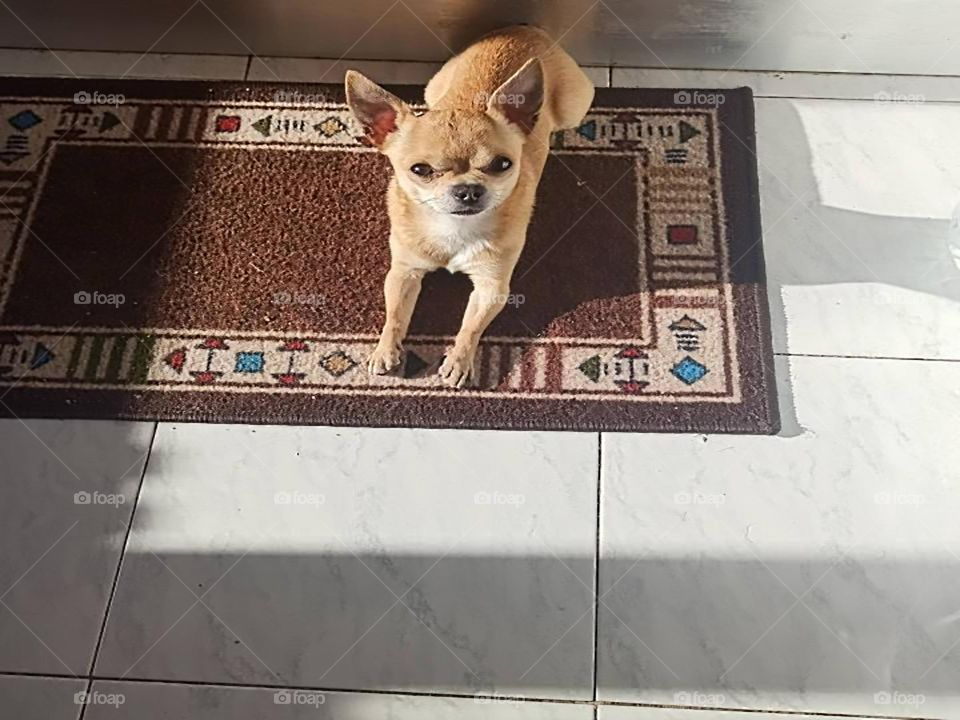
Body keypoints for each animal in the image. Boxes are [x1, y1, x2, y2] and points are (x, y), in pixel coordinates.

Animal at [344, 25, 592, 388]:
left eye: (503, 164)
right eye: (420, 170)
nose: (468, 190)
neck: (455, 228)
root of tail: (523, 29)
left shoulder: (492, 288)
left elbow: (471, 325)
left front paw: (459, 360)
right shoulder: (404, 272)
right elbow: (395, 314)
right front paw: (385, 349)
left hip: (576, 104)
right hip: (433, 86)